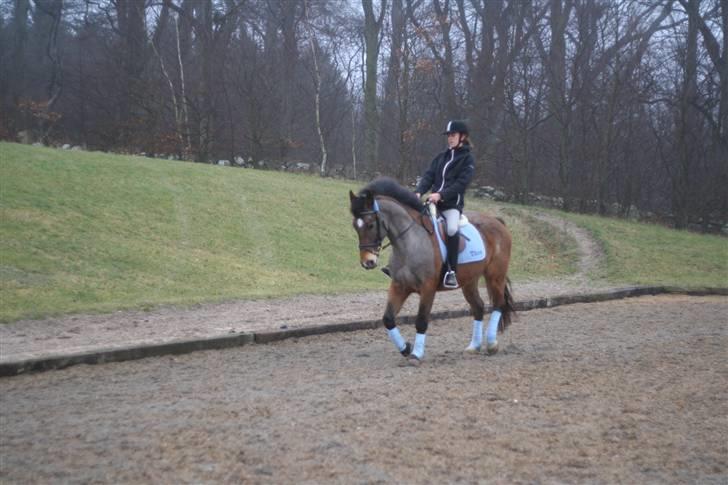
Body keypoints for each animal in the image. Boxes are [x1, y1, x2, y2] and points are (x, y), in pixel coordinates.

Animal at [350, 176, 516, 362]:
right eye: (355, 226)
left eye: (370, 224)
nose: (367, 262)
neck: (410, 242)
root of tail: (497, 221)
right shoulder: (399, 286)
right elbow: (388, 319)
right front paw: (406, 348)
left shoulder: (428, 288)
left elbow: (421, 320)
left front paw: (416, 354)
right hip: (469, 281)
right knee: (478, 307)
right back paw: (474, 347)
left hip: (495, 276)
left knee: (498, 304)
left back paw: (492, 344)